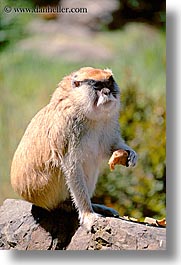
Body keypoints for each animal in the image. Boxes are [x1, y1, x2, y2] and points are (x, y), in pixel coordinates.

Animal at [10, 67, 136, 228]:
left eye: (109, 83)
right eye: (97, 86)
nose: (107, 92)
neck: (81, 106)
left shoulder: (109, 119)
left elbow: (108, 146)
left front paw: (129, 154)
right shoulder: (68, 126)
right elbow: (72, 167)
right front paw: (88, 214)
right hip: (47, 191)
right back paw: (68, 205)